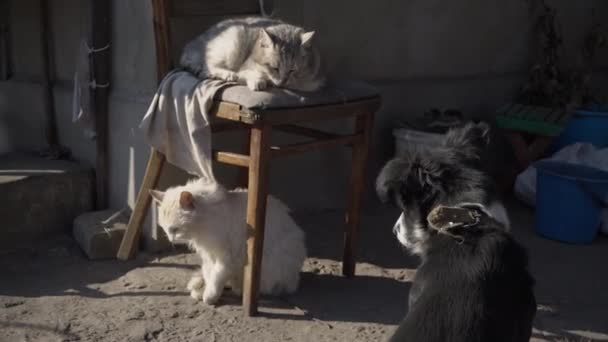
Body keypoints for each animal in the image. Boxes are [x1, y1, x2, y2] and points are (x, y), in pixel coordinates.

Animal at [150, 179, 306, 304]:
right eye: (165, 228)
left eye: (175, 229)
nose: (171, 239)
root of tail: (295, 281)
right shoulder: (209, 255)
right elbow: (210, 276)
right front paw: (205, 291)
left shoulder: (226, 258)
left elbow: (216, 278)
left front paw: (209, 297)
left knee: (248, 287)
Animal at [179, 17, 326, 92]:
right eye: (275, 68)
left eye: (292, 70)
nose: (282, 82)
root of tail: (190, 45)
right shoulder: (244, 66)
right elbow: (250, 73)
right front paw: (258, 80)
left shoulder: (311, 80)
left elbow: (302, 83)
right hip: (234, 38)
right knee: (208, 67)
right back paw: (228, 74)